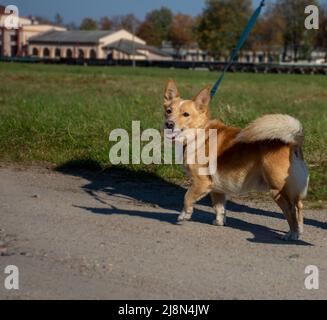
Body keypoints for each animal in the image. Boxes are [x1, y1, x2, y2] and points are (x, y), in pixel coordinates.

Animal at [164, 79, 310, 240]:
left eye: (186, 114)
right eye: (169, 111)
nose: (169, 124)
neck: (198, 133)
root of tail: (293, 141)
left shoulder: (201, 182)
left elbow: (187, 197)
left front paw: (184, 215)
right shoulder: (216, 187)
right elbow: (219, 206)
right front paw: (219, 222)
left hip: (277, 190)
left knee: (291, 211)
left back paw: (293, 234)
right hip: (290, 189)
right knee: (299, 206)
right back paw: (298, 231)